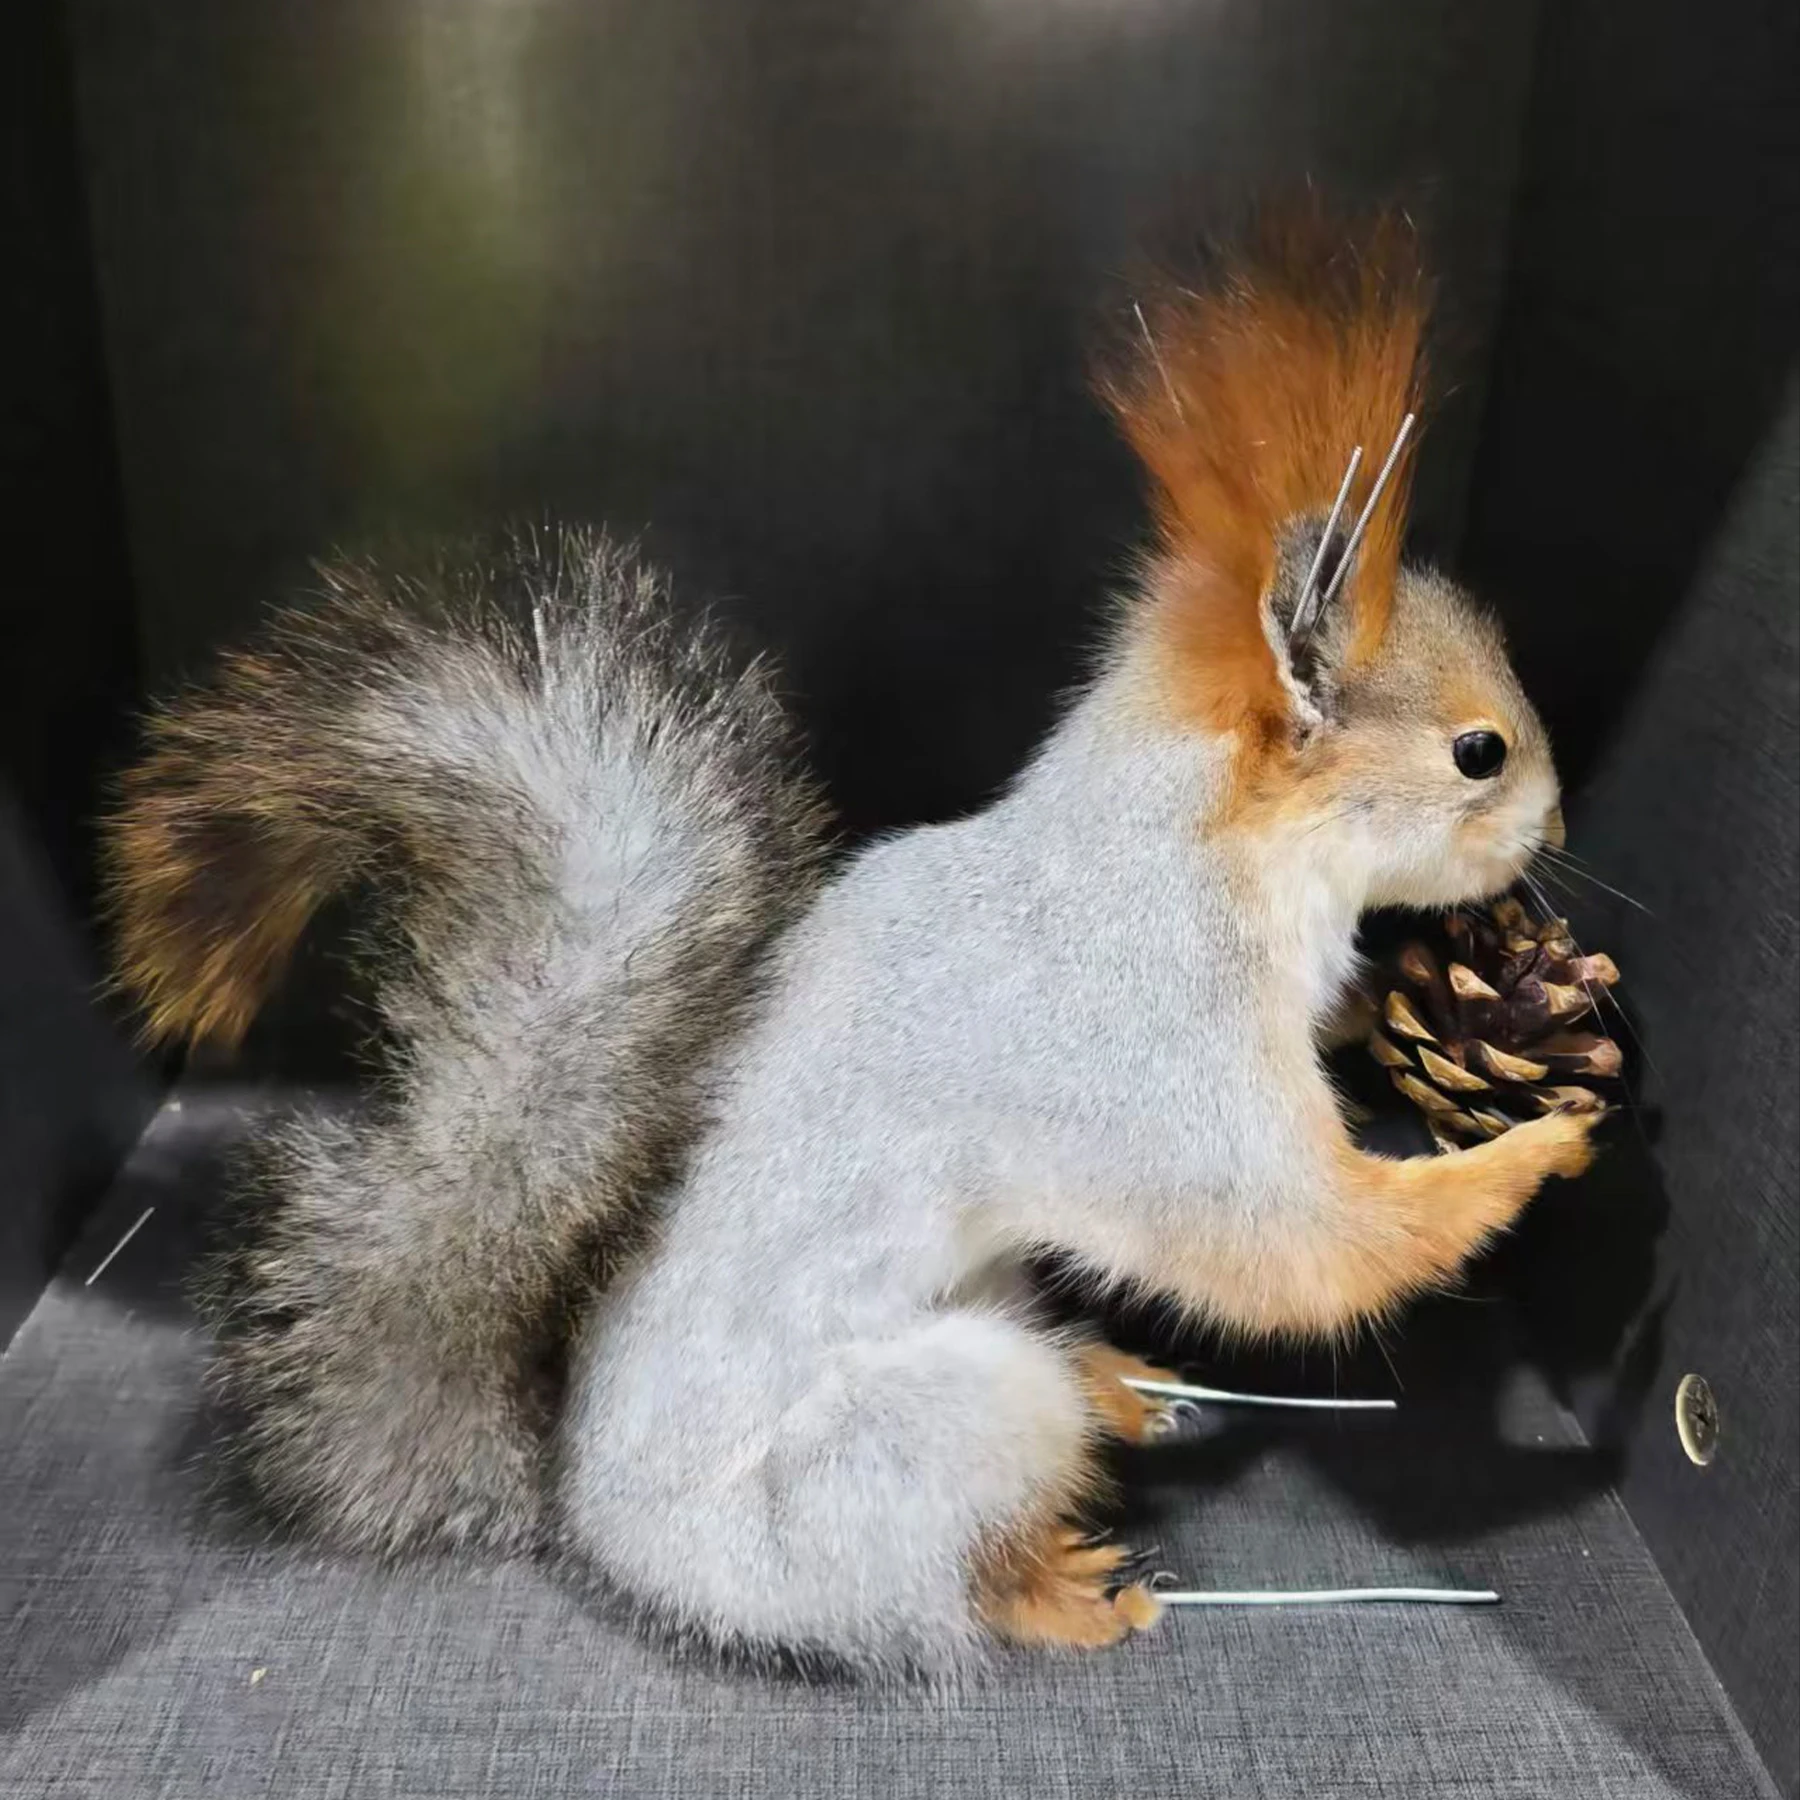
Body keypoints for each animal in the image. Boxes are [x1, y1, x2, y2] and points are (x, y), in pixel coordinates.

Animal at [105, 213, 1598, 1674]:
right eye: (1478, 753)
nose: (1557, 818)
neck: (1205, 857)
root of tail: (586, 1516)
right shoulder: (1154, 1055)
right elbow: (1299, 1241)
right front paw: (1532, 1152)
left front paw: (1389, 1017)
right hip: (931, 1431)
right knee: (944, 1572)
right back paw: (1064, 1587)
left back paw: (1117, 1380)